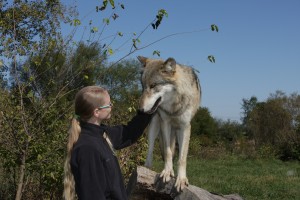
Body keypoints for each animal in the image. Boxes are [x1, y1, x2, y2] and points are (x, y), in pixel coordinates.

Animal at [138, 55, 202, 191]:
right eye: (142, 86)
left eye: (153, 85)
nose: (140, 110)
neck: (174, 108)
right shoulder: (165, 123)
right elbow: (167, 152)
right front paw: (167, 172)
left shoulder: (185, 127)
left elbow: (181, 158)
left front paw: (181, 179)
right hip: (154, 126)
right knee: (151, 148)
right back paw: (147, 168)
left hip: (174, 131)